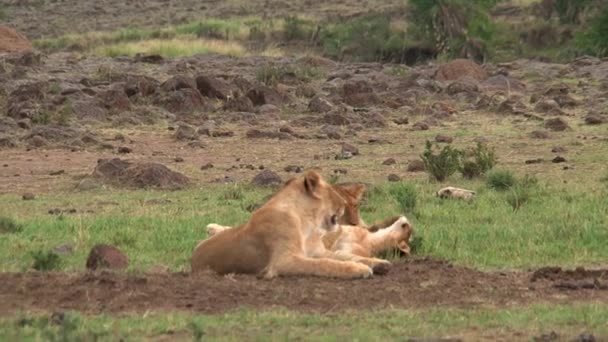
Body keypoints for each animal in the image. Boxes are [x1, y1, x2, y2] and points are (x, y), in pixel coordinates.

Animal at [192, 170, 414, 280]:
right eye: (332, 193)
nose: (344, 207)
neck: (307, 223)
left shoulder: (320, 251)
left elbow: (342, 257)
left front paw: (378, 263)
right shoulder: (284, 261)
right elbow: (325, 265)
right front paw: (359, 269)